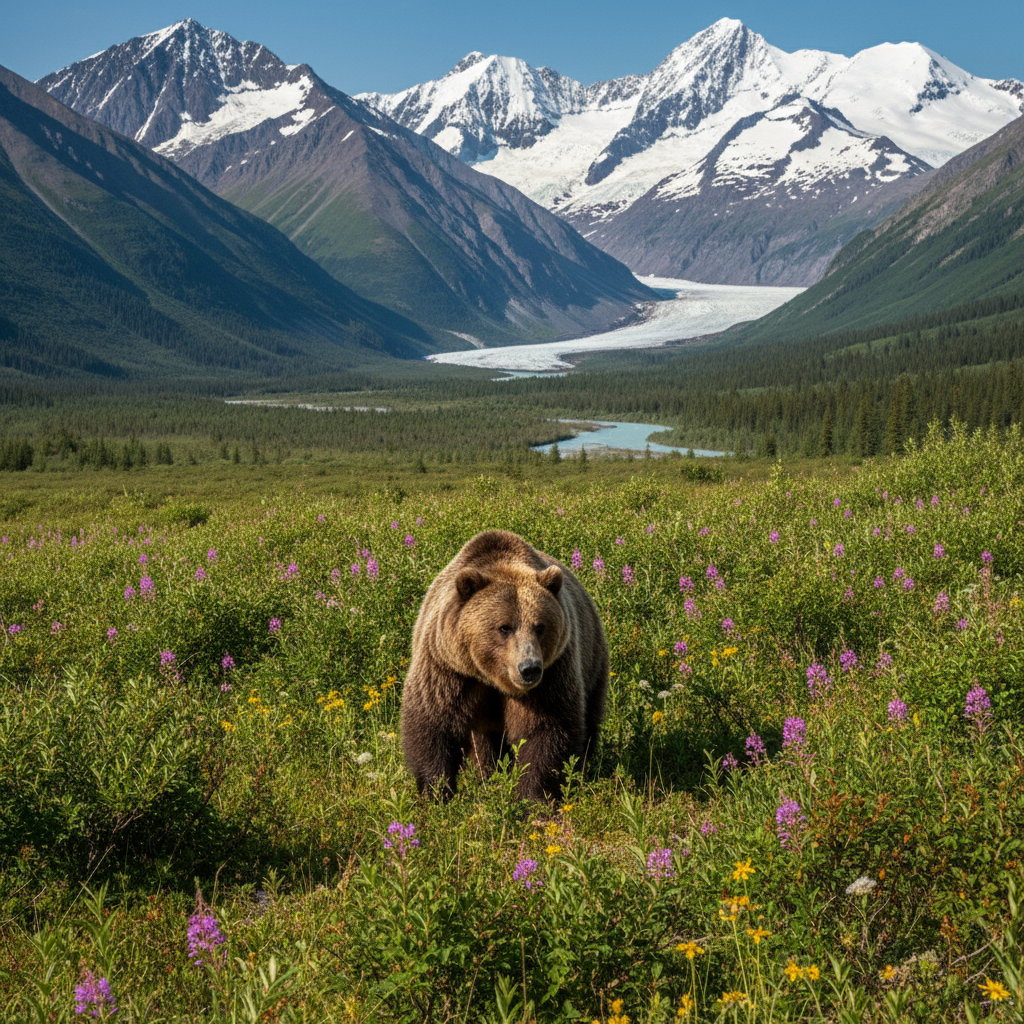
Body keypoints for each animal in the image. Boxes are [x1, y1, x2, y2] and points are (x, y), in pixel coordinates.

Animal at [400, 529, 609, 802]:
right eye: (504, 627)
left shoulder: (552, 675)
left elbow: (545, 730)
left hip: (592, 660)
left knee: (589, 716)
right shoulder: (447, 668)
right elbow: (433, 723)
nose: (529, 668)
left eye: (540, 626)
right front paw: (436, 792)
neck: (491, 677)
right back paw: (486, 773)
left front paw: (533, 796)